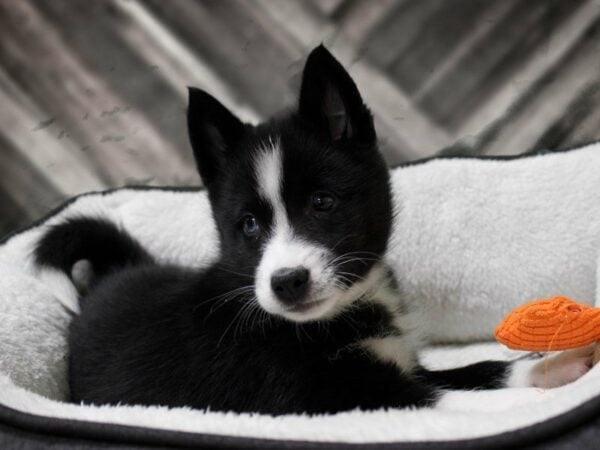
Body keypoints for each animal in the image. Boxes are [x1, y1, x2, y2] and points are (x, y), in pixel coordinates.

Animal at [35, 45, 592, 414]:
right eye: (249, 225)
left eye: (322, 202)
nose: (286, 282)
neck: (334, 318)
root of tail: (113, 278)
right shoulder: (342, 398)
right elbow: (453, 401)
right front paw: (543, 393)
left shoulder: (404, 365)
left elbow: (477, 373)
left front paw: (552, 365)